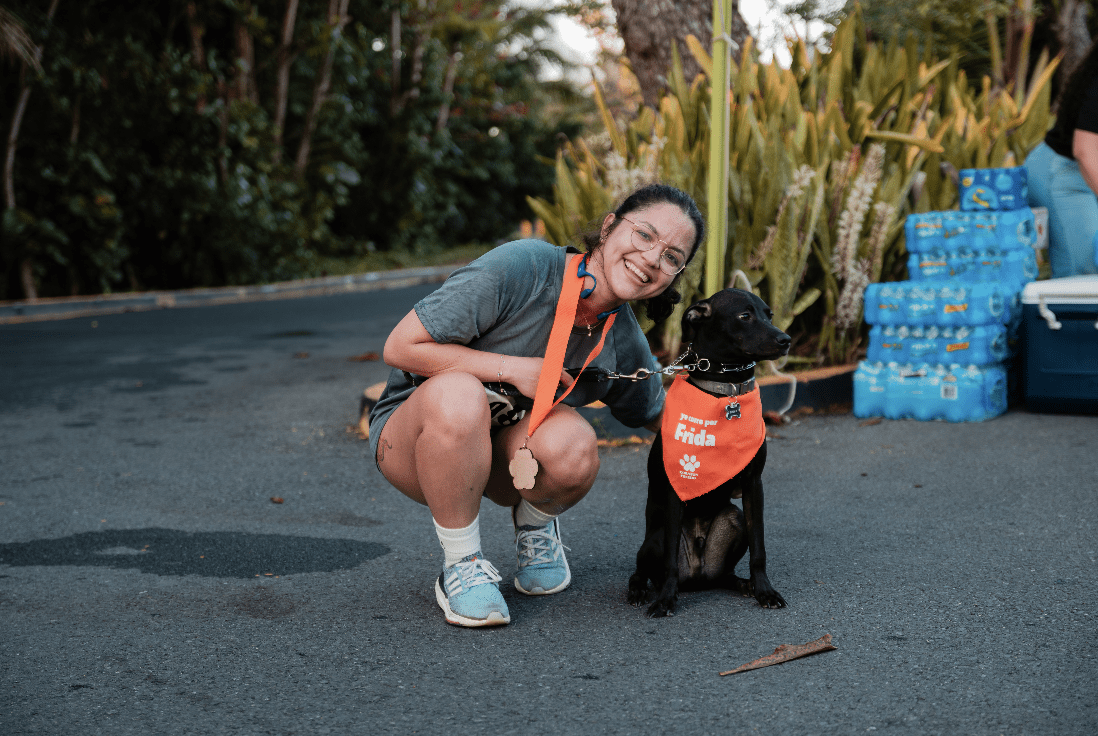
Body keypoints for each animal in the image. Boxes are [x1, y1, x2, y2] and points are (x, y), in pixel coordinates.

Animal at [628, 288, 790, 617]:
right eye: (745, 315)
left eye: (769, 314)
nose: (786, 340)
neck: (726, 389)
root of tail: (698, 577)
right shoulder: (675, 489)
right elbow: (669, 565)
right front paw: (665, 600)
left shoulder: (754, 485)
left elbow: (759, 548)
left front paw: (764, 590)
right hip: (654, 539)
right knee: (643, 571)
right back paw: (641, 590)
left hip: (734, 519)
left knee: (724, 574)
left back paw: (742, 584)